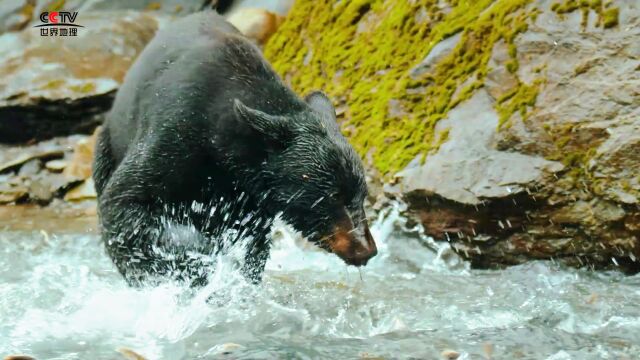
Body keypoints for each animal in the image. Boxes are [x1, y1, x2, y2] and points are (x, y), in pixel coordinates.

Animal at [92, 11, 378, 286]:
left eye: (362, 194)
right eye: (333, 196)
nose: (367, 249)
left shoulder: (250, 199)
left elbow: (252, 247)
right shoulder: (172, 135)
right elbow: (124, 203)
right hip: (108, 147)